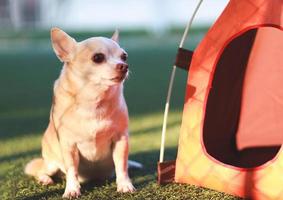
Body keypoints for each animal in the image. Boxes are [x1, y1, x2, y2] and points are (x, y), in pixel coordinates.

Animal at [24, 28, 135, 198]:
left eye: (124, 56)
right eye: (98, 58)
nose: (124, 66)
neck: (94, 101)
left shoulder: (120, 140)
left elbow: (122, 166)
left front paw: (125, 185)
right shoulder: (69, 146)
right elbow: (72, 170)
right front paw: (71, 189)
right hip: (51, 162)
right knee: (41, 170)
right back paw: (45, 179)